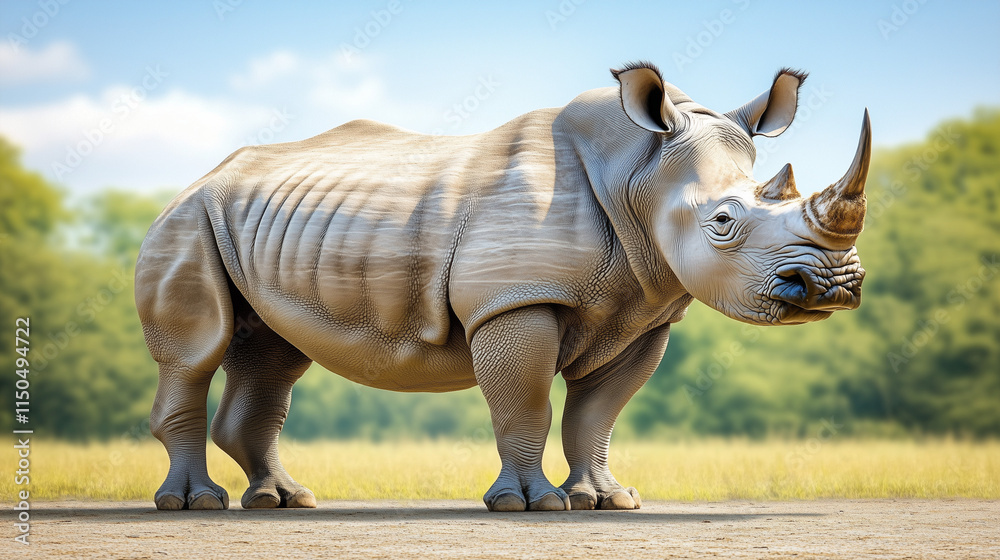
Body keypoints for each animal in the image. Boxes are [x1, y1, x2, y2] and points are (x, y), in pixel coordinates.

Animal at [136, 61, 870, 512]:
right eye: (723, 222)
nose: (832, 286)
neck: (639, 173)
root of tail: (203, 174)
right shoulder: (513, 301)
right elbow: (526, 405)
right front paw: (532, 503)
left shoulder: (642, 311)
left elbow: (596, 415)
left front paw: (608, 501)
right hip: (187, 220)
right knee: (195, 354)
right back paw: (194, 504)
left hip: (261, 227)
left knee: (274, 354)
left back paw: (285, 500)